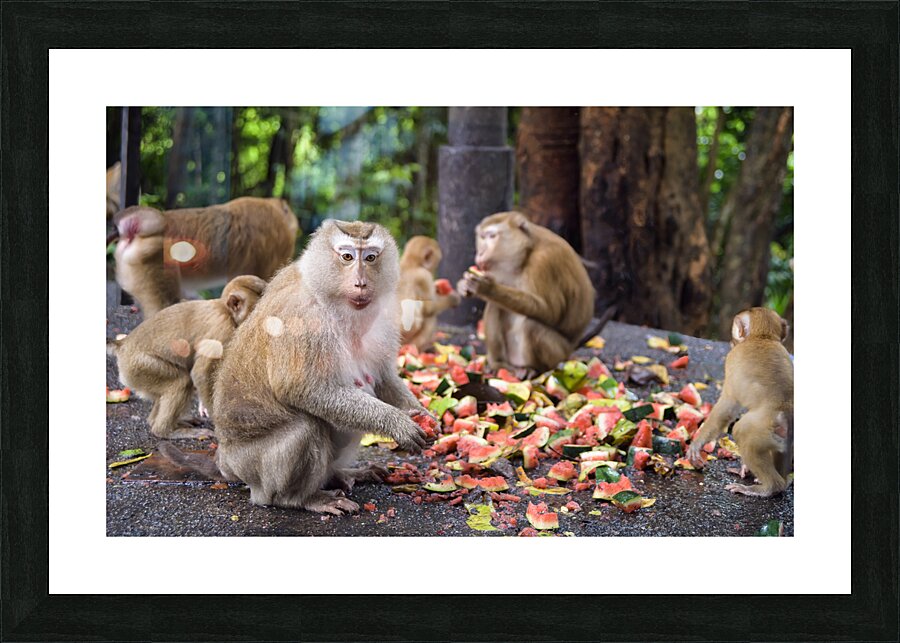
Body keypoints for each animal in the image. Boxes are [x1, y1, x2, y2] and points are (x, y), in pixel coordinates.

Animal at [112, 275, 267, 439]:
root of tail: (122, 344)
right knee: (181, 381)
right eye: (255, 309)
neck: (226, 311)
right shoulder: (222, 330)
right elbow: (200, 374)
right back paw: (165, 431)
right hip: (138, 366)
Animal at [208, 219, 429, 514]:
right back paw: (300, 498)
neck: (329, 297)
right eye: (347, 257)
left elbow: (383, 377)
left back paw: (339, 474)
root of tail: (227, 461)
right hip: (254, 470)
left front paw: (421, 413)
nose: (361, 283)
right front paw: (398, 424)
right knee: (306, 427)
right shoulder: (302, 319)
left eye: (370, 257)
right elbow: (305, 389)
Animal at [456, 211, 595, 377]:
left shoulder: (543, 262)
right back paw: (498, 364)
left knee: (532, 326)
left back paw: (535, 370)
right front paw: (463, 285)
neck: (525, 254)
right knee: (496, 306)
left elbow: (551, 312)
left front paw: (486, 288)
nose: (480, 253)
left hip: (559, 354)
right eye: (482, 237)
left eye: (492, 236)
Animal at [687, 307, 793, 497]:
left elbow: (727, 405)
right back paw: (782, 480)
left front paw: (697, 444)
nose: (731, 342)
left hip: (762, 429)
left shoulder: (731, 360)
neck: (763, 336)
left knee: (741, 430)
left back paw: (769, 487)